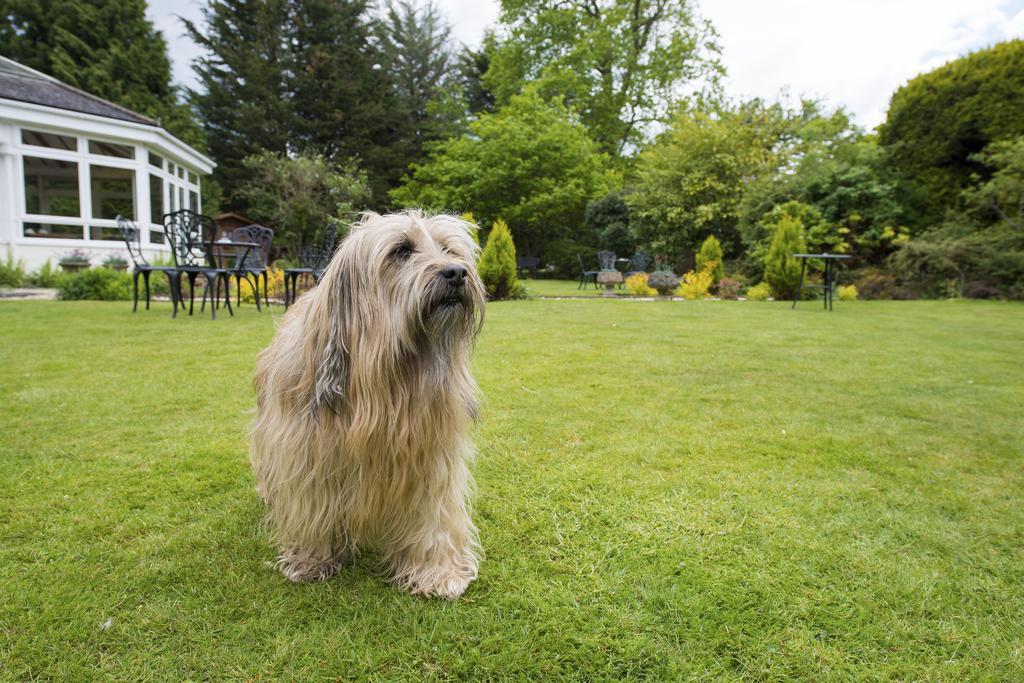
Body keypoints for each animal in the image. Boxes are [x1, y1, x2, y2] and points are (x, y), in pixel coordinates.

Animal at [249, 211, 485, 598]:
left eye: (449, 249)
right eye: (402, 250)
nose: (456, 272)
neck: (387, 377)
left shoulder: (430, 453)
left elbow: (433, 513)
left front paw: (436, 571)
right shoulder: (307, 447)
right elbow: (311, 498)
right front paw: (312, 559)